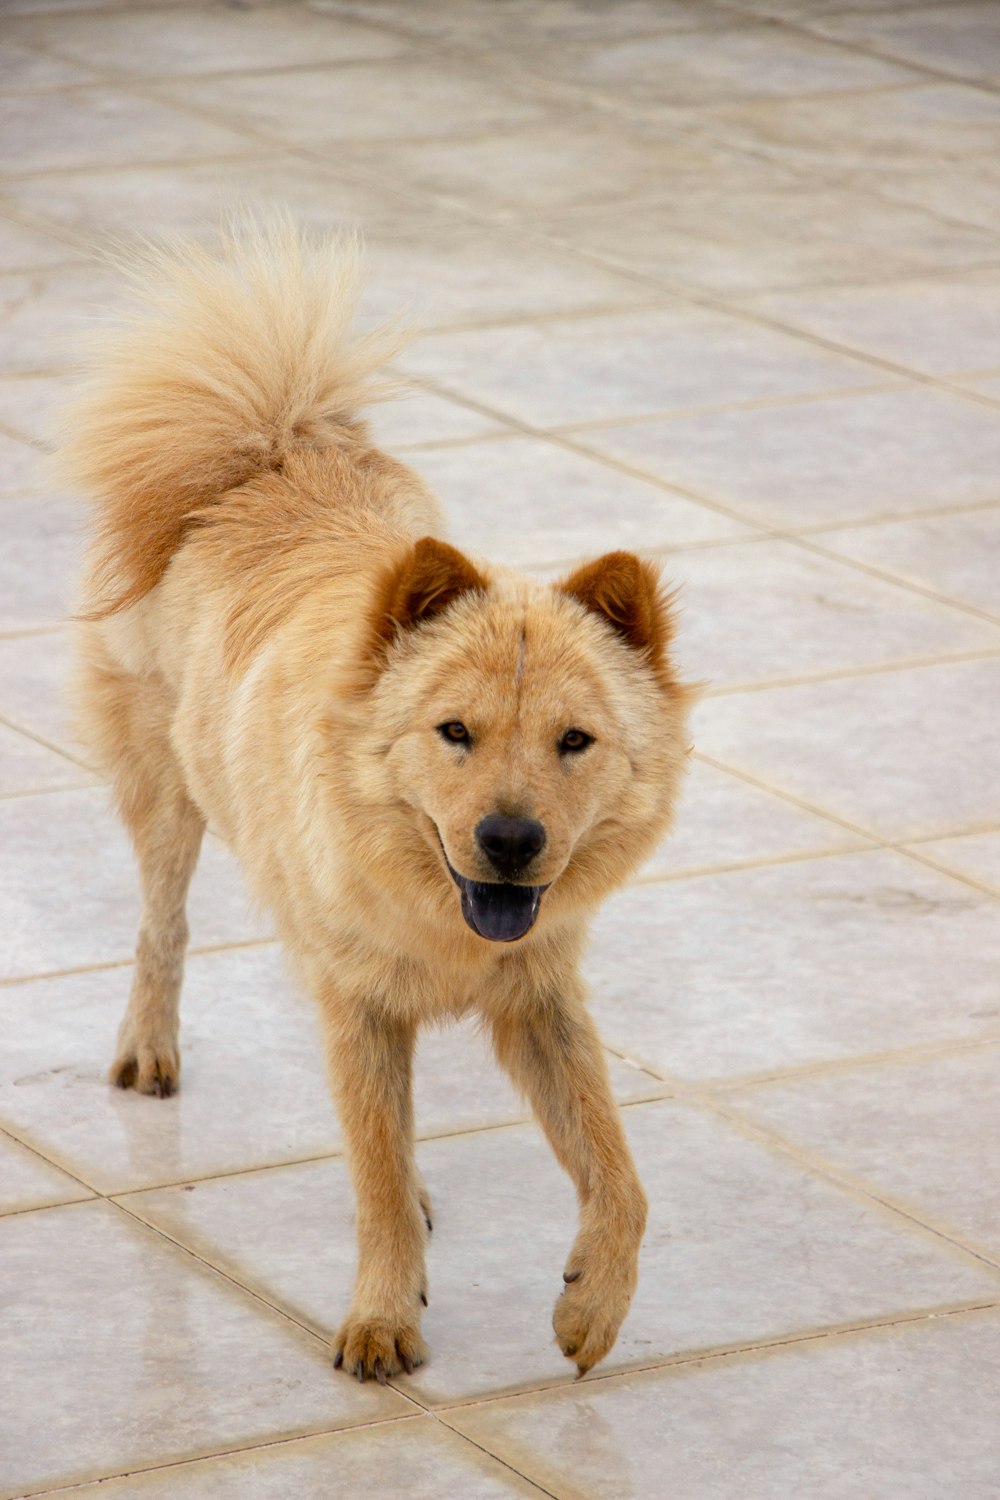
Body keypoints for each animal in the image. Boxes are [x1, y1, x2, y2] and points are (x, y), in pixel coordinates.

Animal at [60, 222, 689, 1380]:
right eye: (455, 733)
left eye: (573, 743)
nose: (510, 838)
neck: (439, 917)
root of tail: (271, 440)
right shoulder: (355, 1002)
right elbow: (377, 1178)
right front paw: (385, 1320)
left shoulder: (539, 997)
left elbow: (619, 1172)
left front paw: (592, 1308)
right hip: (166, 793)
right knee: (161, 924)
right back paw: (148, 1050)